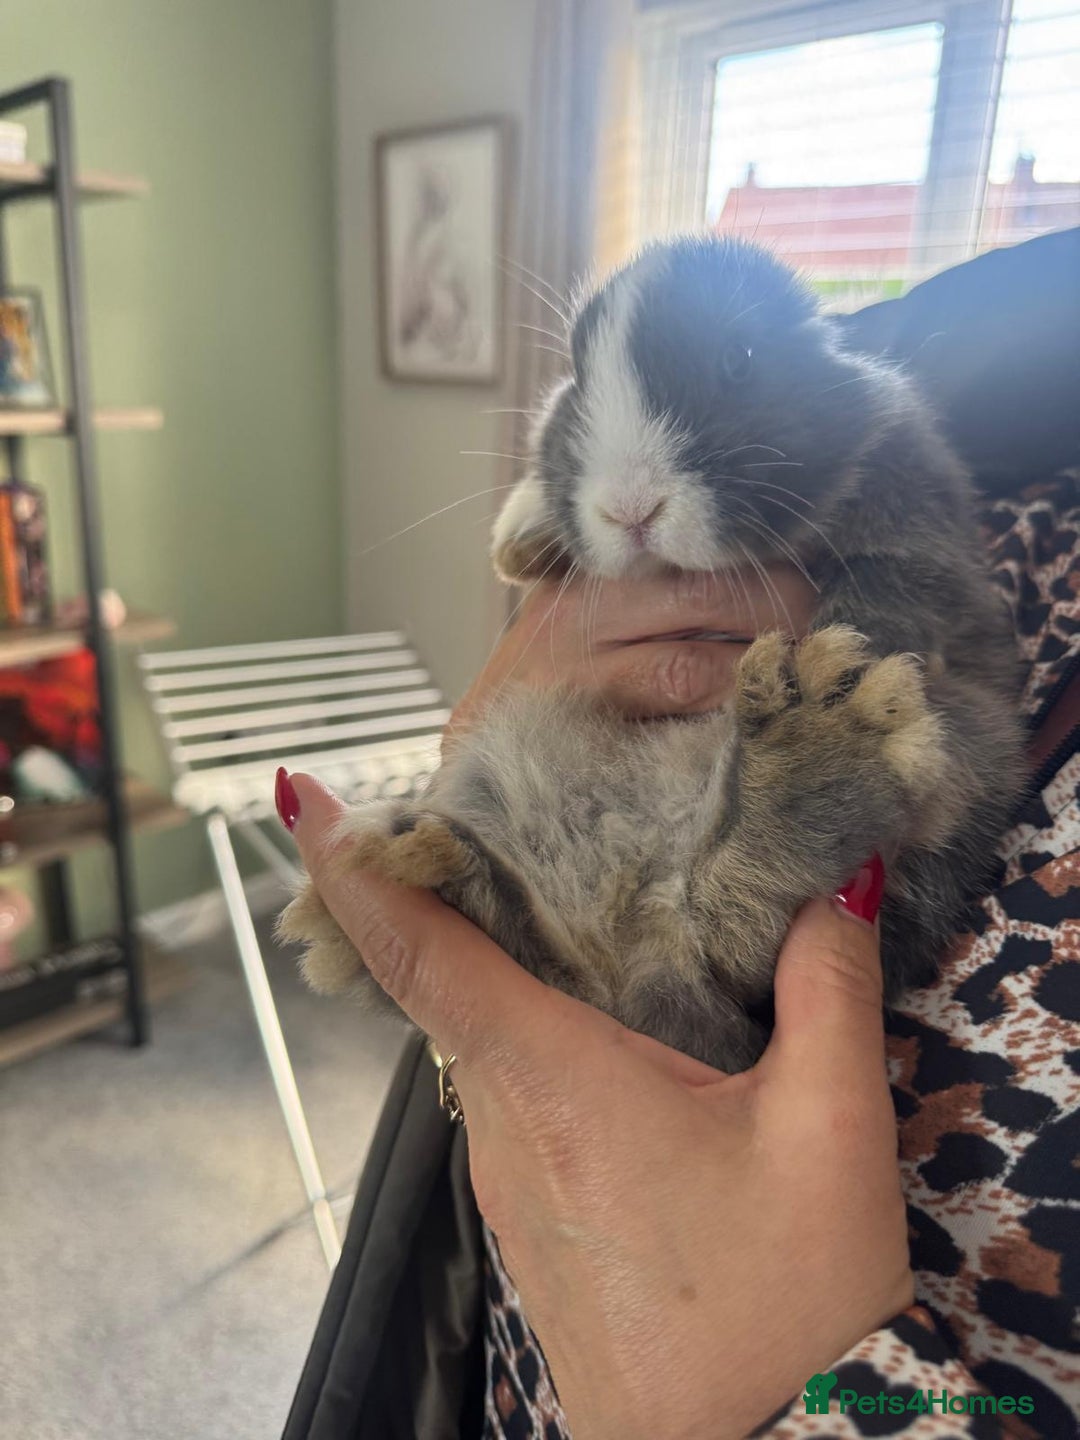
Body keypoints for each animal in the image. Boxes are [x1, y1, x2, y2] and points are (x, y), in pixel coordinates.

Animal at [279, 236, 1025, 1072]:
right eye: (576, 374)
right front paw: (519, 540)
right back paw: (432, 879)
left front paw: (850, 661)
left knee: (740, 940)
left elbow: (897, 593)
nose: (629, 510)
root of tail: (632, 930)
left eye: (739, 359)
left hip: (966, 768)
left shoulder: (919, 528)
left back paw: (824, 733)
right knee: (580, 966)